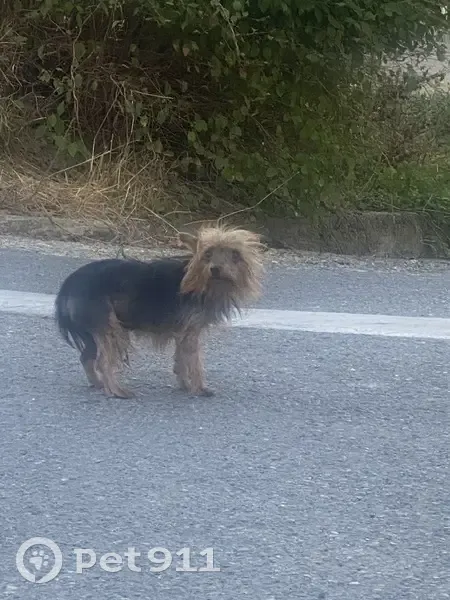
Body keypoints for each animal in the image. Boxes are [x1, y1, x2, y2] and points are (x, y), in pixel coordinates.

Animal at [54, 225, 264, 398]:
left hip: (94, 332)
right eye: (207, 253)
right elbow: (194, 361)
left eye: (235, 254)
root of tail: (69, 284)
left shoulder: (183, 332)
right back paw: (116, 391)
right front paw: (199, 388)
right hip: (111, 328)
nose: (215, 269)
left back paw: (98, 384)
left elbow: (181, 360)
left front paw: (184, 385)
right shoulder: (190, 332)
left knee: (86, 358)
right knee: (103, 362)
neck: (203, 282)